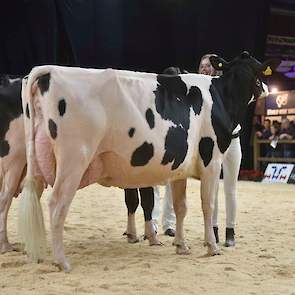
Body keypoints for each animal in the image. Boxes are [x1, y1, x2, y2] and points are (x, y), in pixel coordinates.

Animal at [19, 51, 280, 272]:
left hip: (37, 161)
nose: (266, 89)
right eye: (259, 72)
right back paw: (62, 262)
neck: (221, 98)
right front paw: (212, 246)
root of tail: (50, 71)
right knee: (57, 205)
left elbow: (181, 207)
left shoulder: (180, 169)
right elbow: (208, 205)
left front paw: (181, 245)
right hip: (73, 159)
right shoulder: (211, 160)